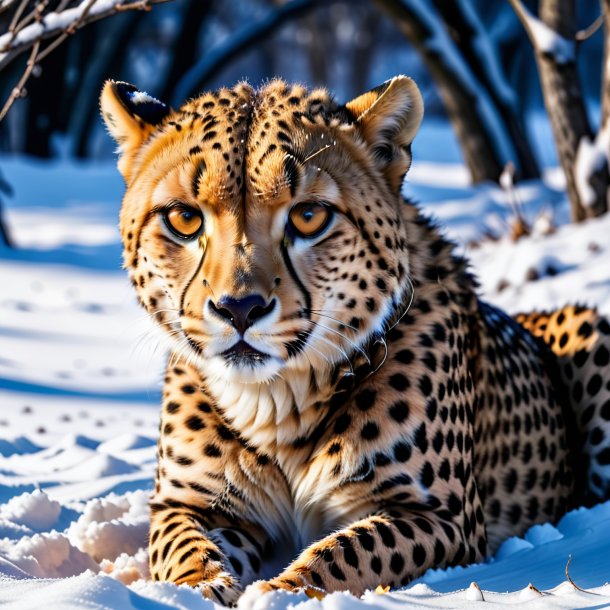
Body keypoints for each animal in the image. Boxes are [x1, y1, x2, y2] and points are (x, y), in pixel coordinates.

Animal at [100, 77, 608, 604]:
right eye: (184, 218)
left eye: (308, 216)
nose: (239, 308)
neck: (275, 402)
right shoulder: (187, 505)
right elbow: (183, 550)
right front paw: (196, 591)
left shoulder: (440, 518)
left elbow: (345, 552)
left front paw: (279, 591)